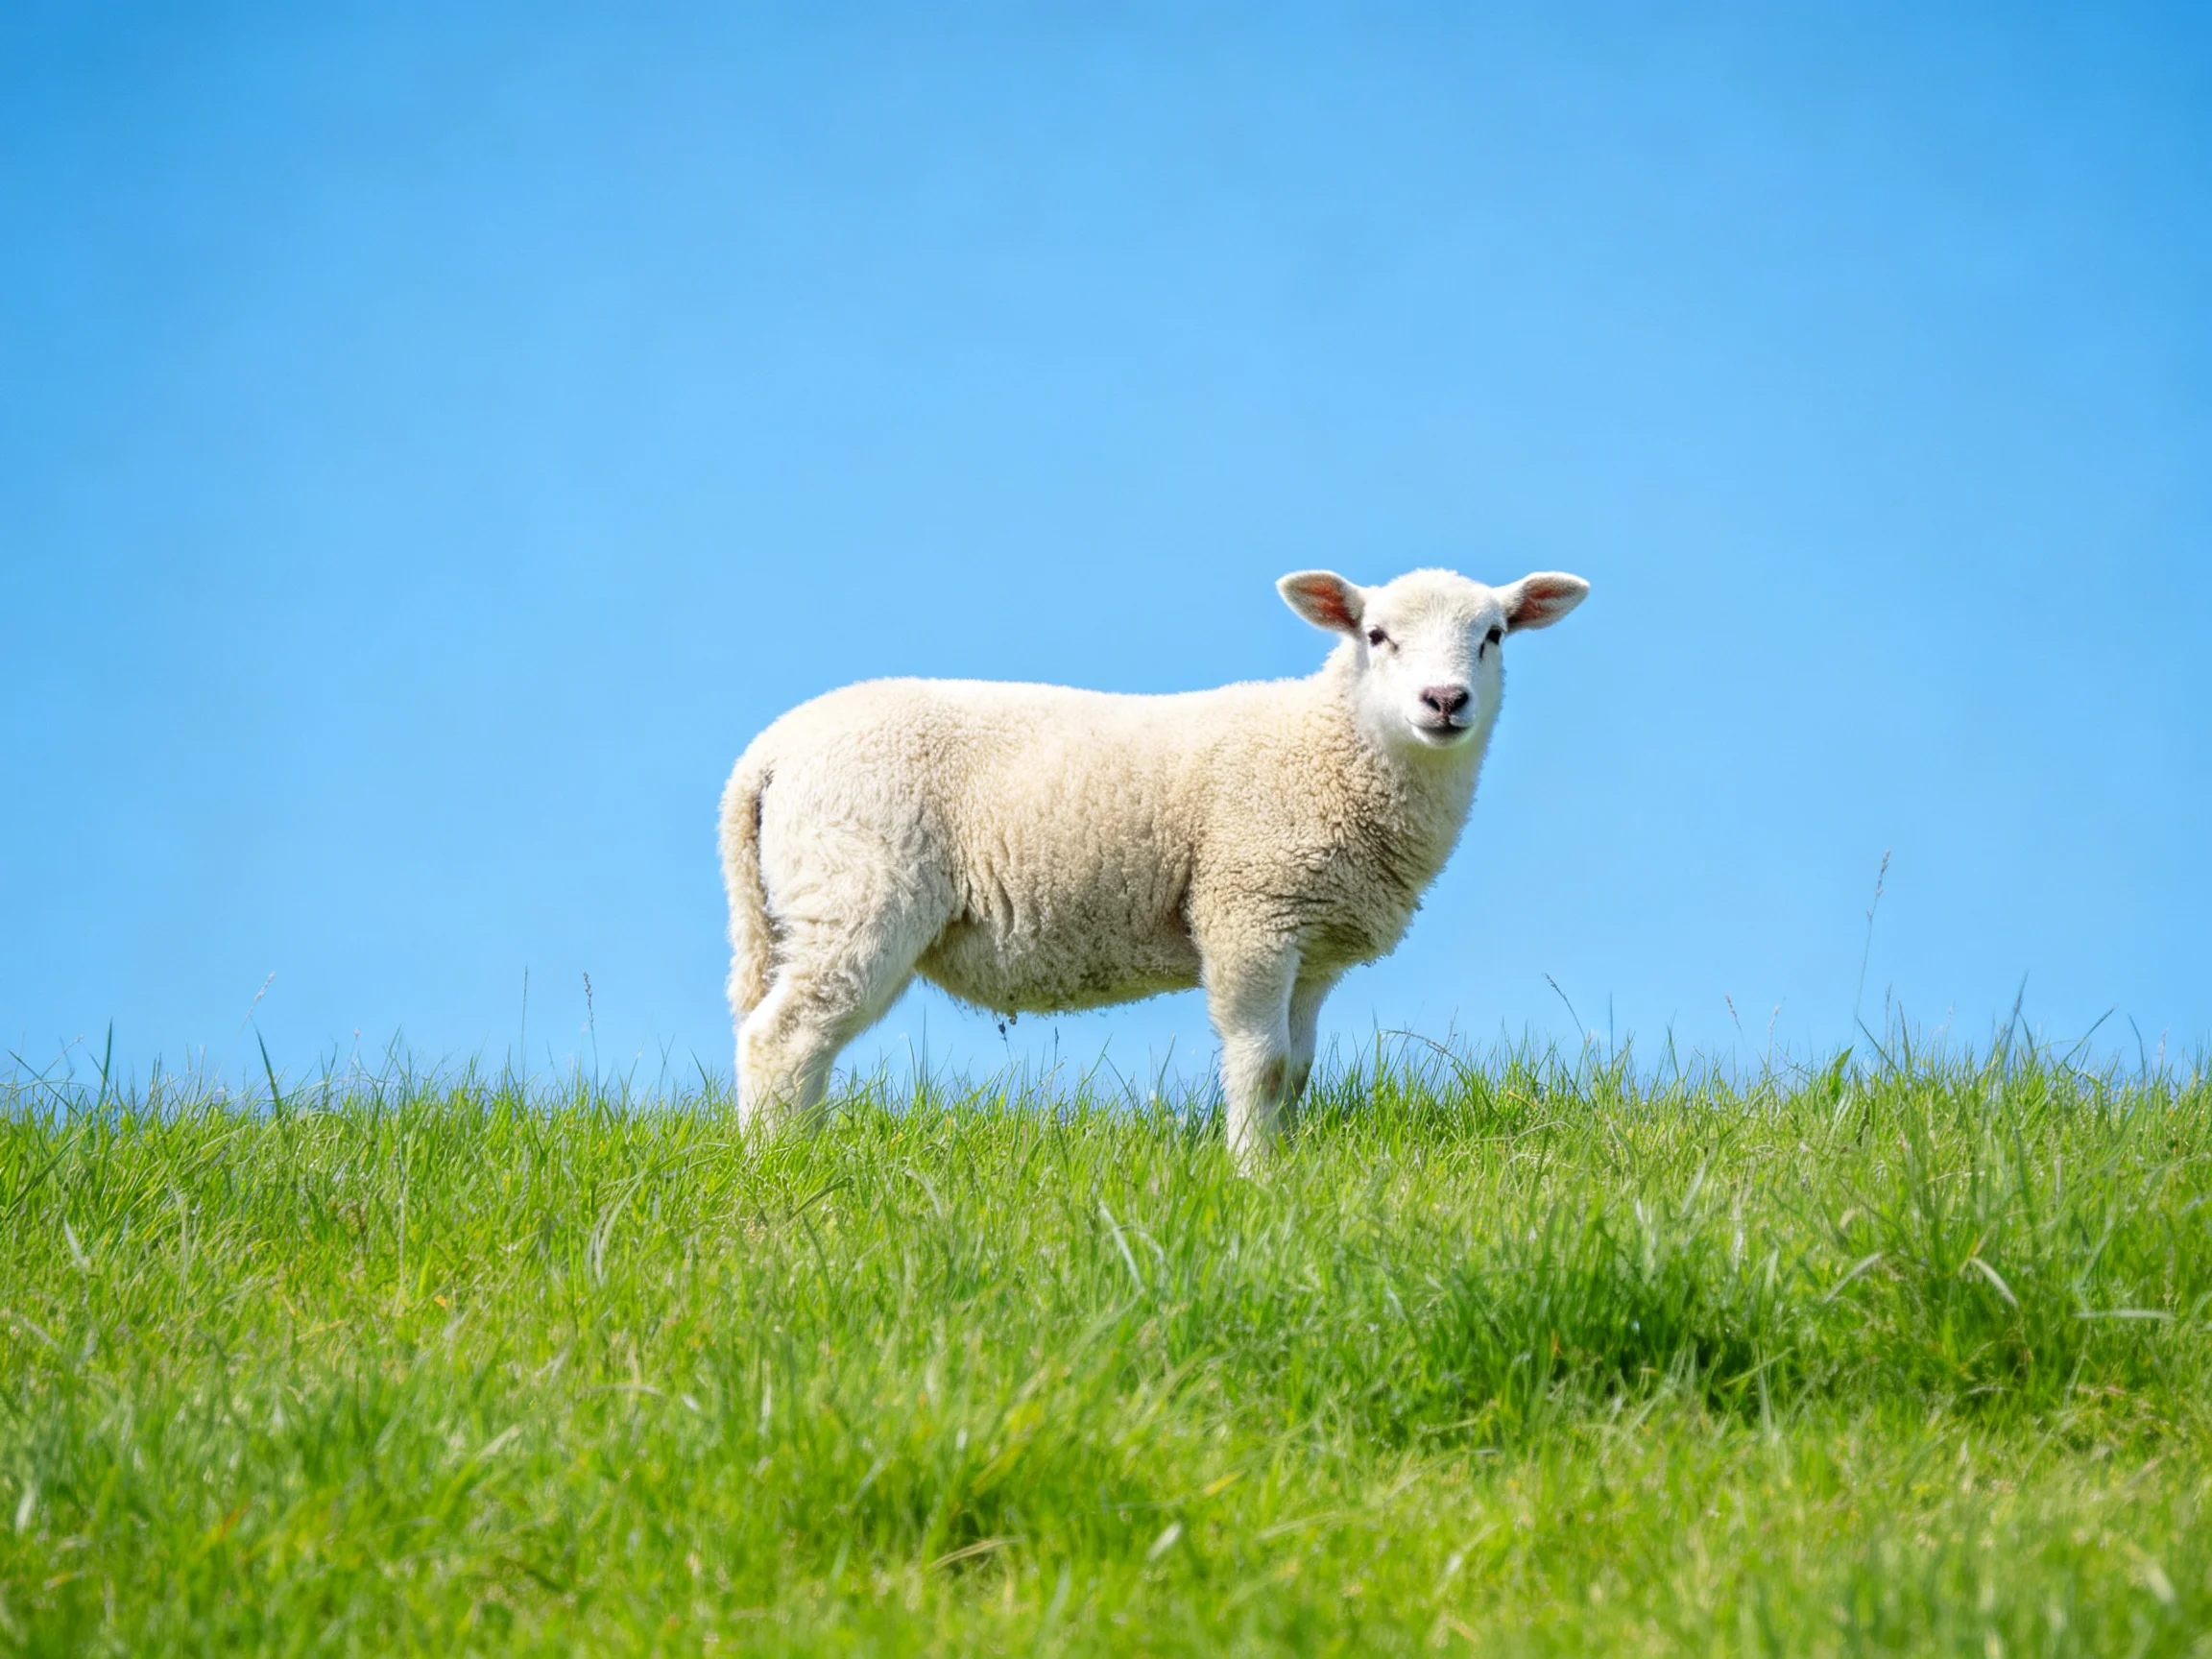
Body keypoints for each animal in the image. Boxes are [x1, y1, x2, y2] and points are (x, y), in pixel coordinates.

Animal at [719, 566, 1588, 1160]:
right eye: (1376, 637)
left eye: (1494, 635)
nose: (1445, 702)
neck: (1331, 745)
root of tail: (767, 754)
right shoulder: (1248, 909)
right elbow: (1261, 1062)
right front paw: (1252, 1175)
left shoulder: (1312, 948)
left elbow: (1299, 1068)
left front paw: (1287, 1165)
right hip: (858, 889)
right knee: (782, 1038)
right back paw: (779, 1166)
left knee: (807, 1042)